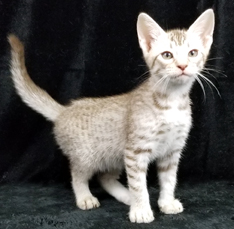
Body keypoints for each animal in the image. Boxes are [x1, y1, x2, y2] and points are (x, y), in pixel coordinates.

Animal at [8, 8, 215, 224]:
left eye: (192, 53)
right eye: (167, 55)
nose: (183, 66)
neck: (172, 100)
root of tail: (65, 110)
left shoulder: (172, 151)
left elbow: (169, 180)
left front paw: (166, 202)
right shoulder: (135, 151)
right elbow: (139, 185)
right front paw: (141, 209)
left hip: (114, 155)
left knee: (105, 178)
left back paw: (126, 196)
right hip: (87, 156)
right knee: (77, 175)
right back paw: (85, 197)